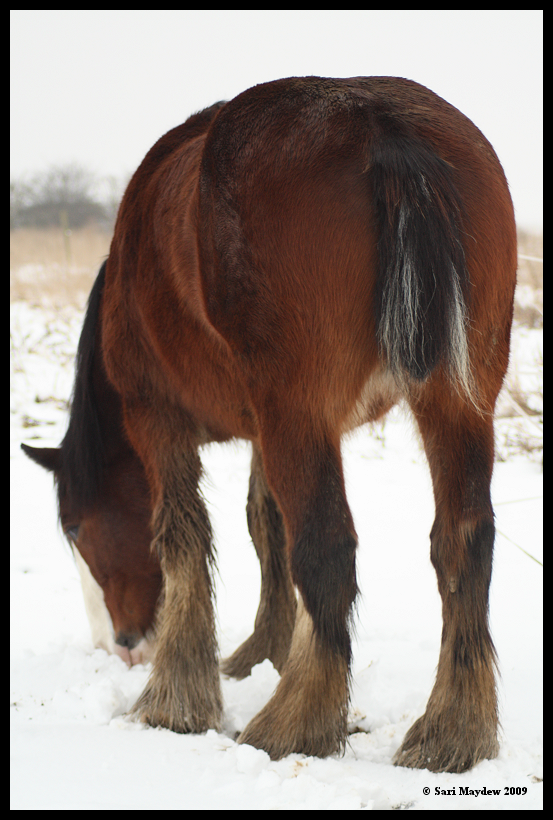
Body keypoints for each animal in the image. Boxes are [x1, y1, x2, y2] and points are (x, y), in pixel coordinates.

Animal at [21, 73, 516, 772]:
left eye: (73, 527)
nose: (121, 644)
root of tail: (381, 124)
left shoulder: (156, 415)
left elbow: (185, 538)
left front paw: (178, 699)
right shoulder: (268, 427)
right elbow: (267, 527)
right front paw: (269, 653)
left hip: (298, 410)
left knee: (330, 550)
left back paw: (292, 726)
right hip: (455, 402)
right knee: (463, 543)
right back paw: (452, 731)